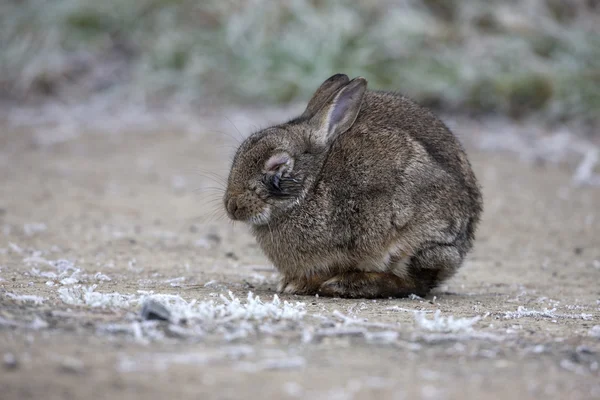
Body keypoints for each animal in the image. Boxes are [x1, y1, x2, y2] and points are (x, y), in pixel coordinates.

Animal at [224, 73, 482, 298]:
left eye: (277, 165)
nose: (232, 206)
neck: (313, 182)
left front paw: (297, 285)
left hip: (415, 238)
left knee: (414, 283)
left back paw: (347, 285)